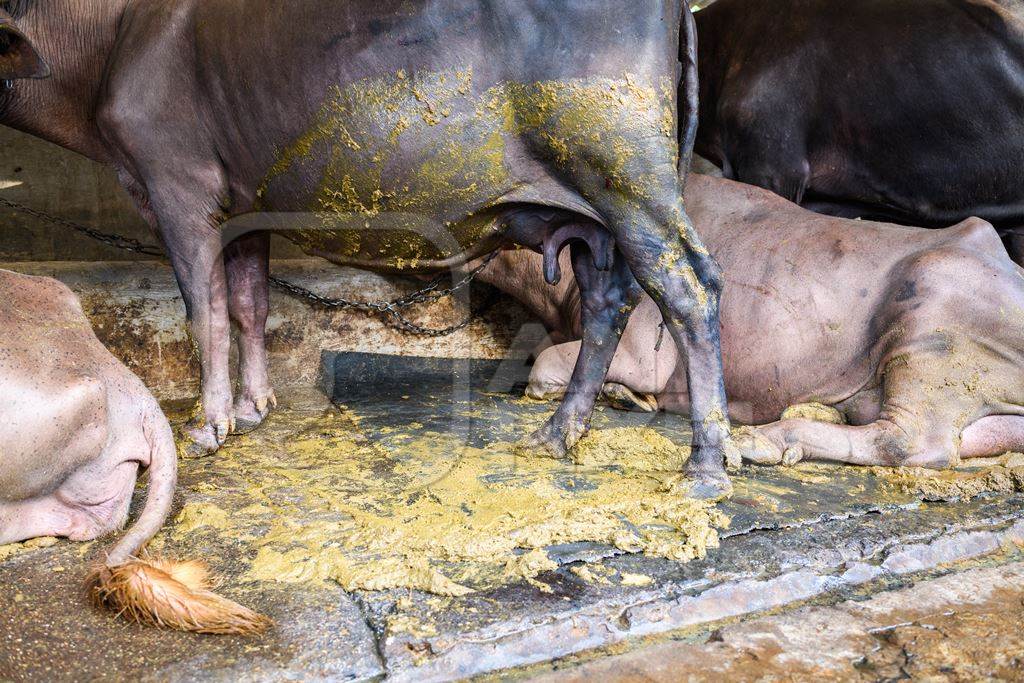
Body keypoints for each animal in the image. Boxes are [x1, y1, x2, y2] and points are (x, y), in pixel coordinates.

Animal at [0, 0, 737, 491]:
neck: (108, 40)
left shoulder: (177, 184)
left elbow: (202, 311)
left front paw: (210, 426)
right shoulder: (246, 203)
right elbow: (247, 304)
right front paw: (254, 406)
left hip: (622, 172)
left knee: (687, 287)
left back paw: (704, 465)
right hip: (593, 211)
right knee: (609, 296)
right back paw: (557, 433)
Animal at [483, 174, 1024, 466]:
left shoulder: (641, 350)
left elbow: (546, 366)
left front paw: (622, 394)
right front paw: (622, 396)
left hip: (928, 328)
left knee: (910, 441)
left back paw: (766, 440)